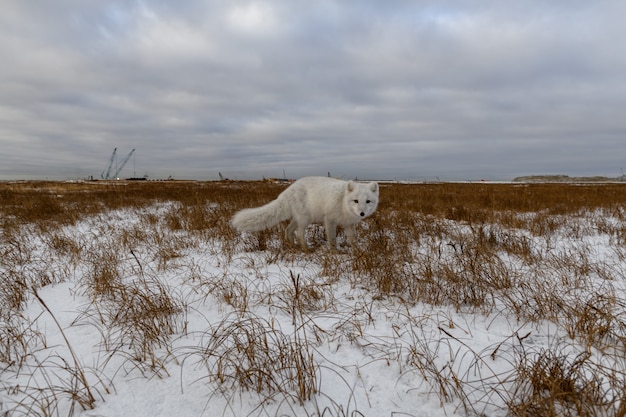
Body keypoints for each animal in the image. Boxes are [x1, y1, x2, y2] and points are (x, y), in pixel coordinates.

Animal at [232, 175, 378, 247]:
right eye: (356, 201)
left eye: (368, 201)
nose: (362, 213)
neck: (343, 203)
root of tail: (287, 191)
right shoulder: (329, 220)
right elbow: (332, 239)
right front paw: (335, 252)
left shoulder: (348, 223)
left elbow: (353, 238)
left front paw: (358, 251)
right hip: (305, 219)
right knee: (299, 234)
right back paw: (306, 249)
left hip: (299, 219)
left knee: (288, 230)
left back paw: (293, 247)